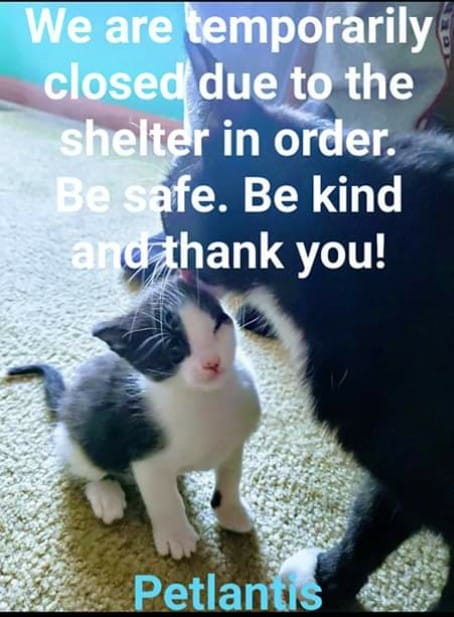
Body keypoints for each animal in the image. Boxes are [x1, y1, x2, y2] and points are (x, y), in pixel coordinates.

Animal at [7, 277, 261, 560]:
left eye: (216, 326)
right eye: (174, 349)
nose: (212, 362)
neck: (207, 397)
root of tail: (65, 401)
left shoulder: (234, 443)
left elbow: (231, 478)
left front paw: (230, 512)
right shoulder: (145, 452)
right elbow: (164, 498)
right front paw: (176, 535)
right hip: (78, 438)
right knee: (86, 468)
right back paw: (106, 495)